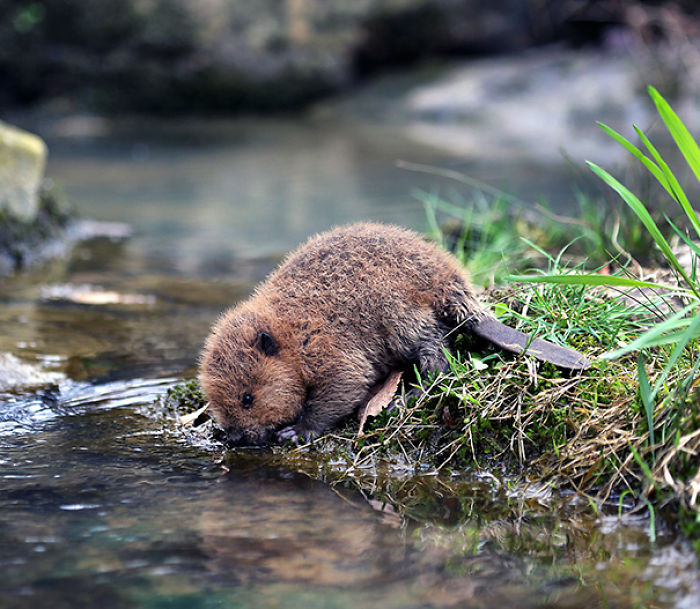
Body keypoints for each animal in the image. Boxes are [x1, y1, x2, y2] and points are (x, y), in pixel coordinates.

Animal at [200, 221, 588, 444]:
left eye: (247, 398)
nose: (234, 439)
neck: (291, 329)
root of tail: (459, 291)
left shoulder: (327, 345)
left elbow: (345, 384)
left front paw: (296, 431)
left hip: (399, 316)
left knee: (437, 355)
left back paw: (407, 397)